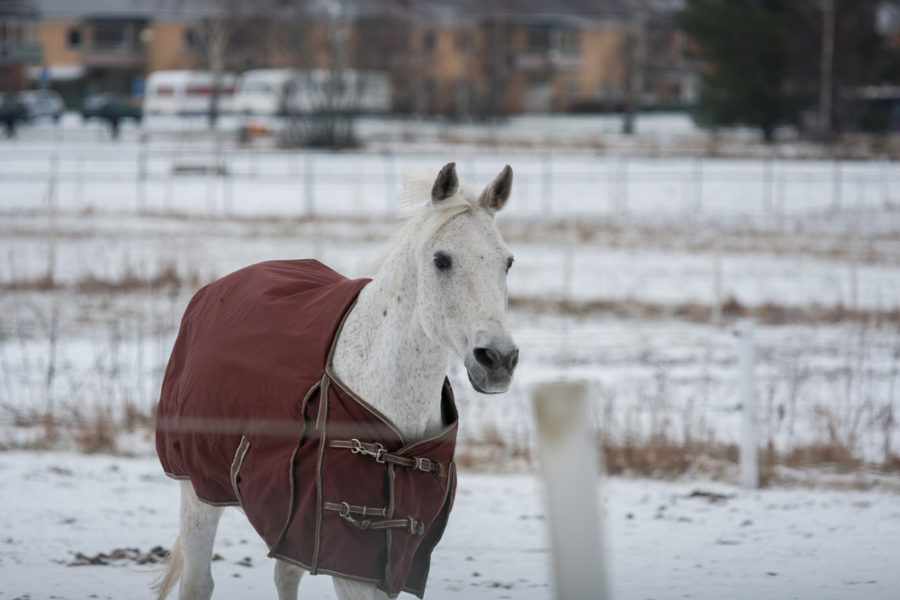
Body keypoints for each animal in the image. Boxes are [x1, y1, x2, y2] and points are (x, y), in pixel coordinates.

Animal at [155, 162, 520, 596]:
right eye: (442, 260)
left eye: (507, 262)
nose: (498, 359)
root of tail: (213, 290)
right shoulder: (349, 559)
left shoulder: (394, 555)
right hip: (199, 491)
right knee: (198, 582)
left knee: (285, 574)